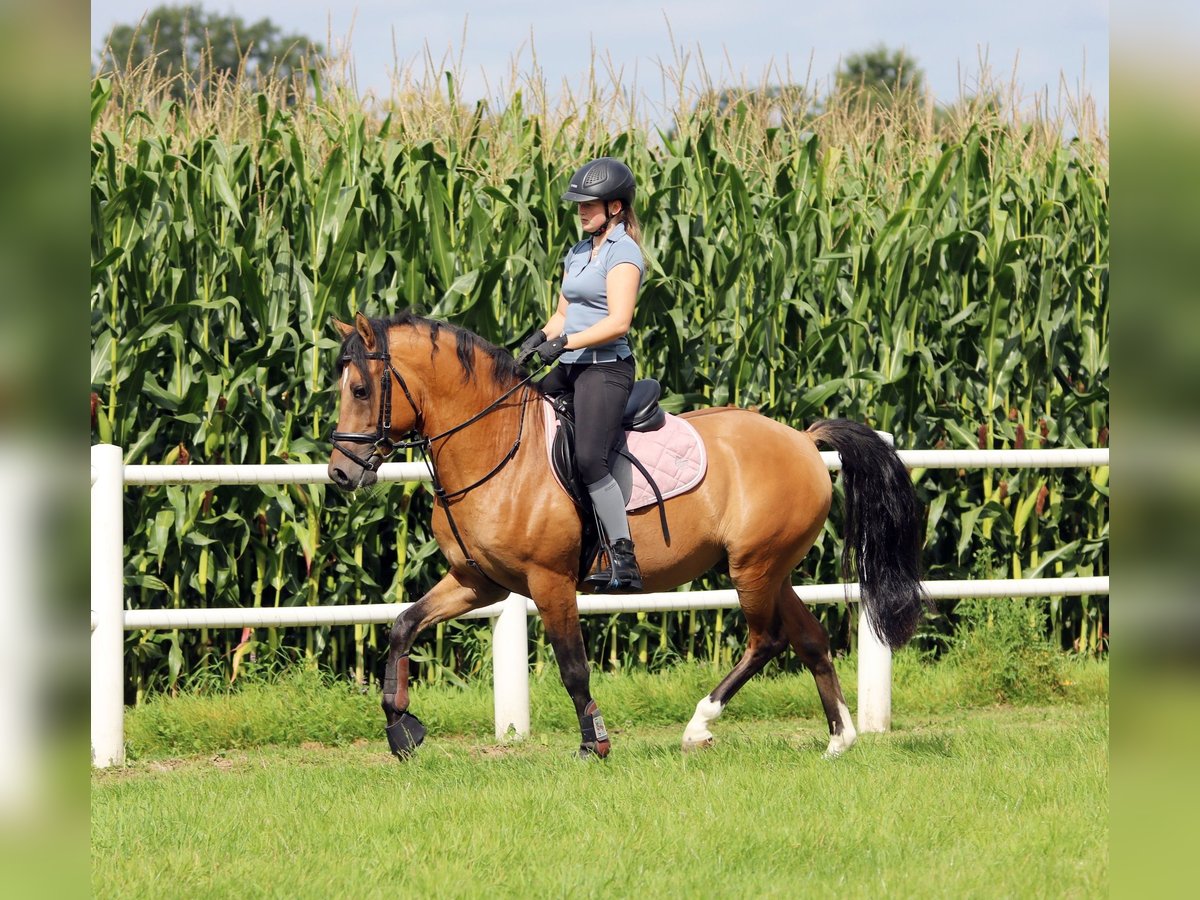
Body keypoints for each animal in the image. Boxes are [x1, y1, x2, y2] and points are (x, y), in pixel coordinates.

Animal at [326, 311, 927, 760]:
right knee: (809, 637)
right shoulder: (479, 583)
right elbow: (403, 625)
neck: (497, 445)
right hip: (770, 567)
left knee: (768, 640)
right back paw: (839, 738)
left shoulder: (549, 582)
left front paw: (594, 744)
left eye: (359, 388)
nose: (341, 474)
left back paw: (699, 727)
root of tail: (802, 439)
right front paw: (400, 727)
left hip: (752, 568)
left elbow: (573, 666)